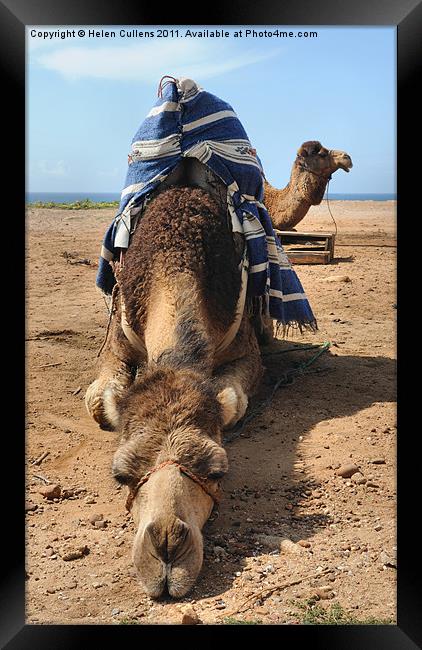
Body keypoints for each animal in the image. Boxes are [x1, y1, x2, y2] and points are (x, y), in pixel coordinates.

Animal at [85, 159, 264, 596]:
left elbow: (236, 399)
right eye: (120, 476)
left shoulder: (245, 350)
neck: (176, 252)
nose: (166, 543)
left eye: (218, 471)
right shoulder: (119, 335)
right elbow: (99, 399)